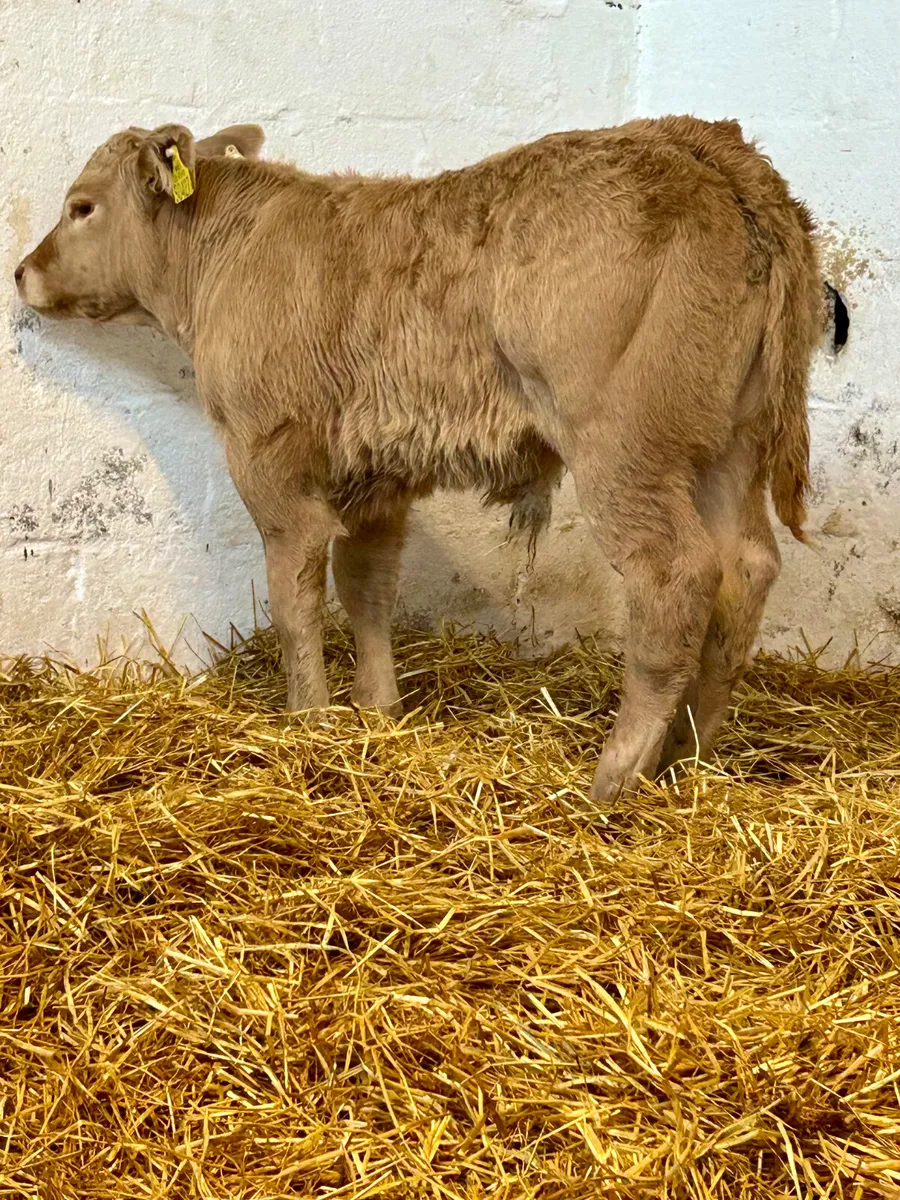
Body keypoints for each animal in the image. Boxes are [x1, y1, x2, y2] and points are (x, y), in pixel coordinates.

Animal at [15, 115, 829, 804]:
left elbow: (294, 594)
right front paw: (377, 709)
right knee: (746, 569)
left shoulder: (269, 456)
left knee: (678, 578)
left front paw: (307, 718)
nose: (23, 272)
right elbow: (367, 585)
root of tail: (706, 150)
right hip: (730, 446)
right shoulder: (376, 472)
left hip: (626, 445)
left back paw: (615, 777)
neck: (226, 253)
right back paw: (686, 758)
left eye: (82, 207)